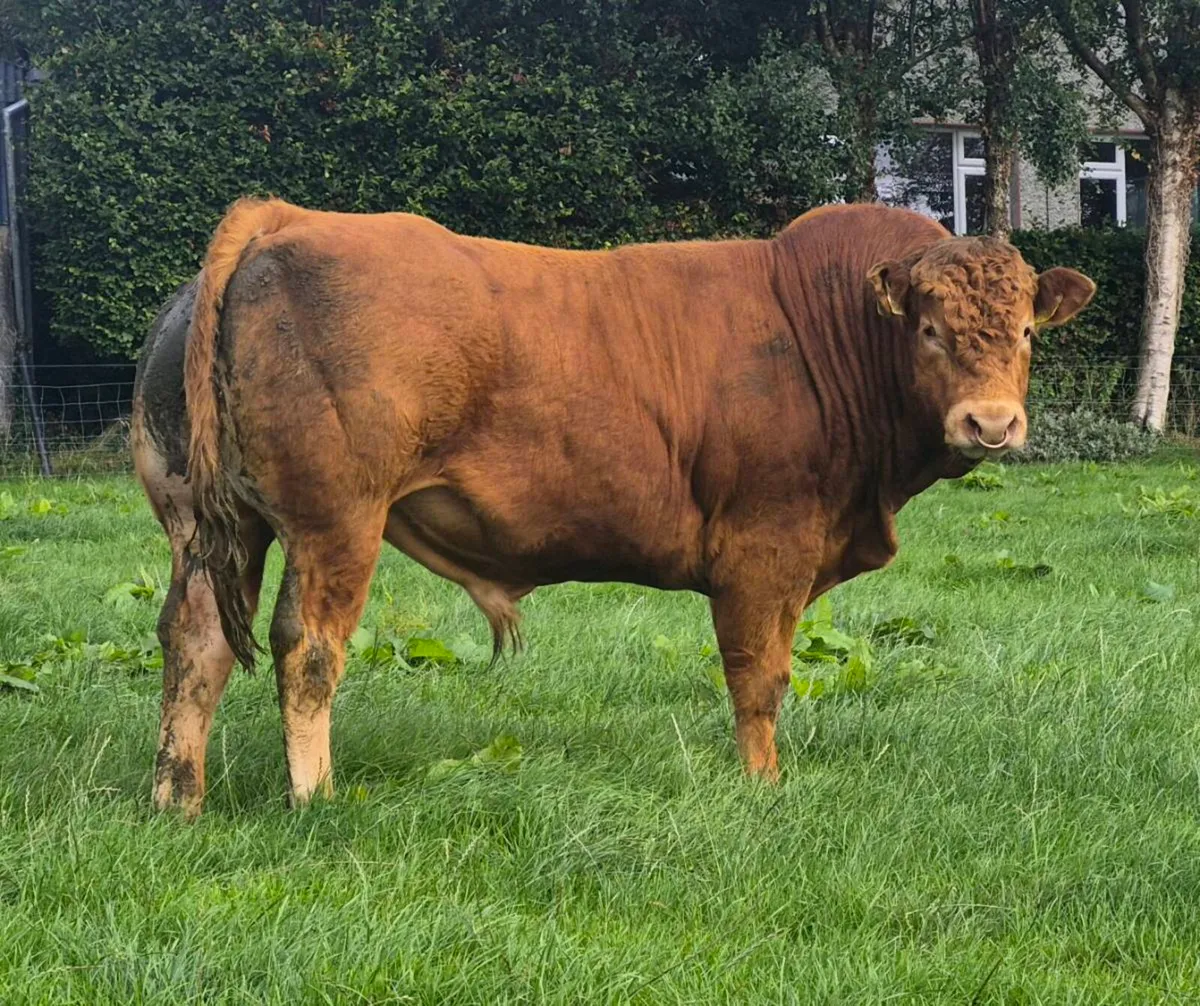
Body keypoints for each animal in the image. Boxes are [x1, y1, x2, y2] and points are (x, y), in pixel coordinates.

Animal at [131, 199, 1094, 817]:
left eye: (1026, 331)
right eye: (930, 330)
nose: (991, 424)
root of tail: (284, 219)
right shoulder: (765, 546)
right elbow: (760, 676)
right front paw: (762, 784)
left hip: (208, 525)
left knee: (196, 643)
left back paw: (178, 799)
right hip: (335, 524)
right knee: (308, 649)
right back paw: (315, 796)